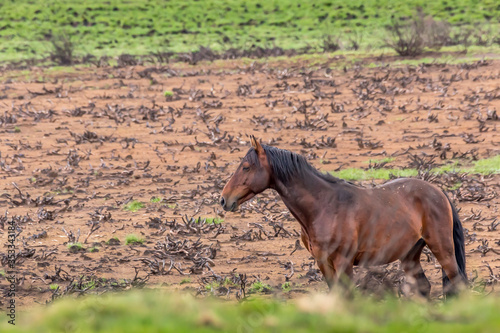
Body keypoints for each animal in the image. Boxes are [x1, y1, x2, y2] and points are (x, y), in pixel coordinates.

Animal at [221, 135, 466, 296]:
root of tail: (438, 192)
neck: (324, 206)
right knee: (424, 287)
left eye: (246, 167)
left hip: (442, 249)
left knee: (456, 283)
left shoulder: (343, 263)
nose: (224, 200)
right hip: (410, 254)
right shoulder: (323, 263)